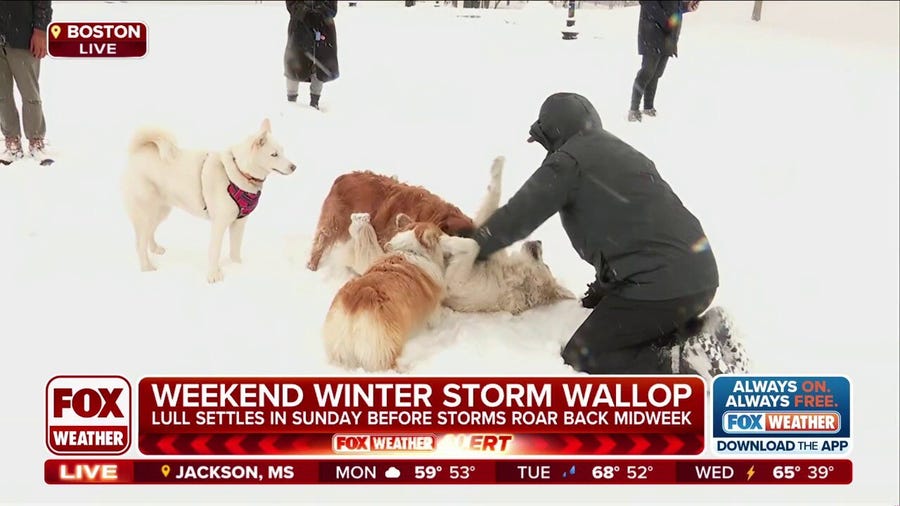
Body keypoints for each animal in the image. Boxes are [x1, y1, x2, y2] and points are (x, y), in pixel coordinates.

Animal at [119, 120, 294, 282]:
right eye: (274, 154)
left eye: (283, 151)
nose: (294, 167)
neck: (239, 172)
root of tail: (137, 153)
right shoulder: (219, 224)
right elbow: (215, 251)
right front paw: (214, 276)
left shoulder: (239, 223)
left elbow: (235, 250)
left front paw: (237, 266)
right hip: (146, 212)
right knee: (139, 243)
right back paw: (147, 268)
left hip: (161, 211)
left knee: (149, 233)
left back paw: (155, 249)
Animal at [324, 214, 450, 372]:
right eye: (440, 235)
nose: (450, 236)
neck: (411, 250)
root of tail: (353, 306)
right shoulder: (433, 312)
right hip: (385, 347)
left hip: (340, 350)